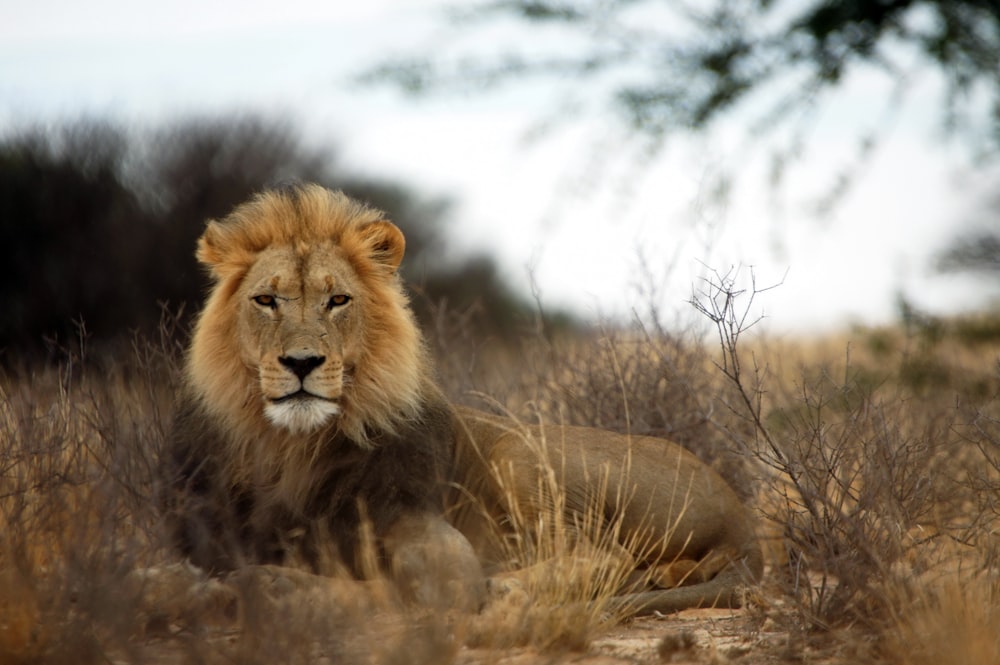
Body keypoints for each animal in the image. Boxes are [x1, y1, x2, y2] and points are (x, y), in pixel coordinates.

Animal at [162, 183, 756, 616]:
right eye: (266, 300)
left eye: (338, 301)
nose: (302, 362)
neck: (294, 447)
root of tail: (738, 512)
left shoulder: (422, 526)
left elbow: (416, 589)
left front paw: (273, 587)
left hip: (519, 453)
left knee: (604, 554)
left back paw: (512, 590)